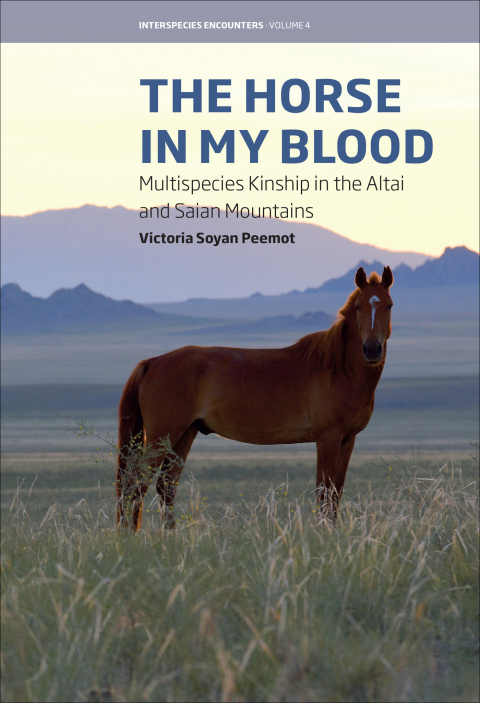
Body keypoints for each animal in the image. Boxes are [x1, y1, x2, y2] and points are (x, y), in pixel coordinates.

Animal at [116, 266, 393, 530]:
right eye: (358, 307)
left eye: (389, 305)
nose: (371, 350)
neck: (338, 370)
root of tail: (152, 362)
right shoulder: (328, 438)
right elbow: (324, 493)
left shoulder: (348, 439)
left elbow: (336, 493)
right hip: (161, 436)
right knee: (136, 484)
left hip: (184, 434)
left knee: (165, 486)